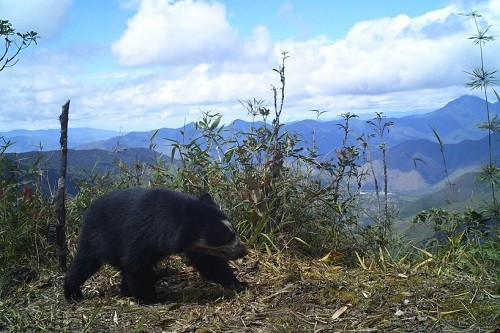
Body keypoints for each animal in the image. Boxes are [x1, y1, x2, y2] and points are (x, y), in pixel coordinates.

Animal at [64, 187, 248, 304]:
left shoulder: (196, 246)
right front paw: (151, 299)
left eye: (233, 231)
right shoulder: (141, 235)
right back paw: (72, 293)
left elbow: (210, 263)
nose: (243, 251)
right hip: (95, 237)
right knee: (84, 263)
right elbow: (135, 264)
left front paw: (239, 284)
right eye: (225, 236)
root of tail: (88, 209)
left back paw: (124, 290)